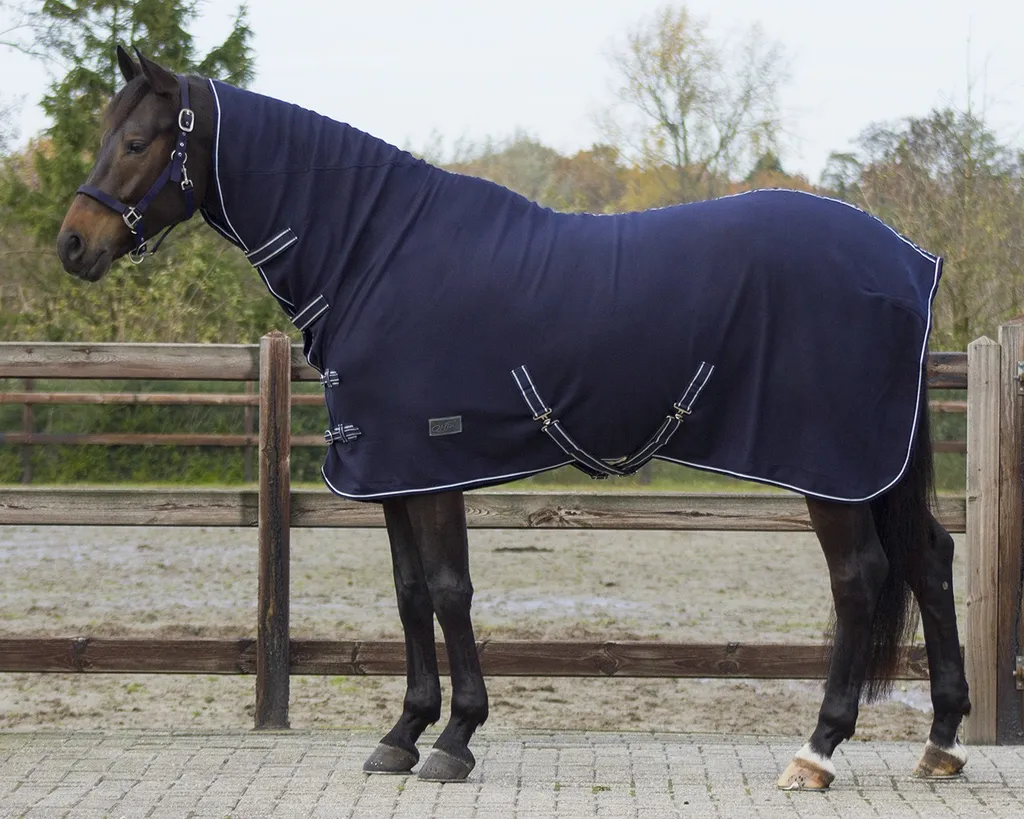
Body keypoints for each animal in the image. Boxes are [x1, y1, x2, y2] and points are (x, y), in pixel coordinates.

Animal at [56, 47, 971, 788]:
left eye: (139, 141)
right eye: (107, 134)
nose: (73, 244)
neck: (374, 254)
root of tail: (910, 262)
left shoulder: (435, 465)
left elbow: (450, 590)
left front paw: (455, 737)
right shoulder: (391, 472)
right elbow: (409, 592)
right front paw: (403, 731)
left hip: (832, 468)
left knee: (861, 578)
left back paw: (817, 750)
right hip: (873, 468)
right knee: (928, 556)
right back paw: (942, 742)